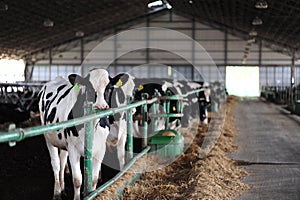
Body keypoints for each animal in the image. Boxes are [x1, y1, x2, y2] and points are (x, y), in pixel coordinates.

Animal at [38, 69, 110, 200]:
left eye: (109, 87)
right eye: (89, 87)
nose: (101, 106)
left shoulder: (101, 149)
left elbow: (93, 179)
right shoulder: (73, 149)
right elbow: (77, 180)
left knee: (62, 161)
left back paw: (62, 188)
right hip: (49, 139)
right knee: (56, 165)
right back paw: (57, 193)